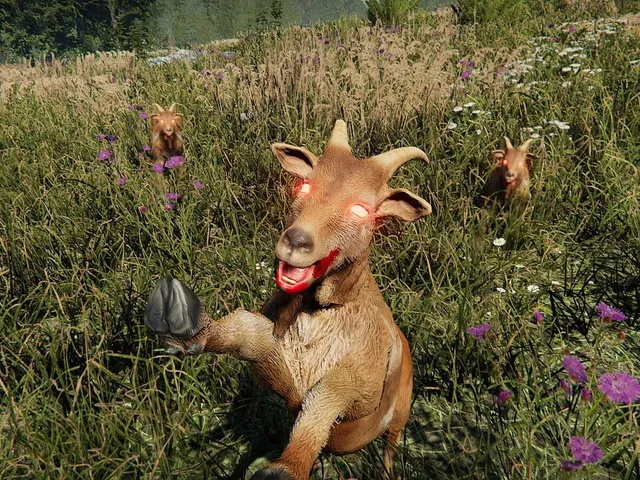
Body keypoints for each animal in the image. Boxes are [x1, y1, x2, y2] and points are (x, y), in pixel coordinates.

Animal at [143, 120, 433, 480]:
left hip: (401, 410)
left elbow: (325, 399)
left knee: (391, 444)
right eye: (305, 186)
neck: (318, 313)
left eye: (361, 209)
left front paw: (285, 468)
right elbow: (249, 334)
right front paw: (188, 328)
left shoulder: (361, 384)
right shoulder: (282, 377)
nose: (296, 240)